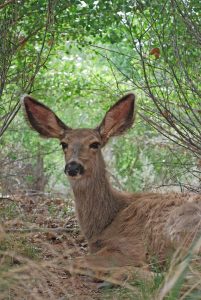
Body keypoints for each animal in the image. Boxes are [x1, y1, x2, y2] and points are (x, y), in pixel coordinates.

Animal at [21, 93, 200, 282]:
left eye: (95, 144)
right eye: (63, 144)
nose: (73, 167)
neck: (104, 223)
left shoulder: (132, 246)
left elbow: (75, 261)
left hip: (180, 230)